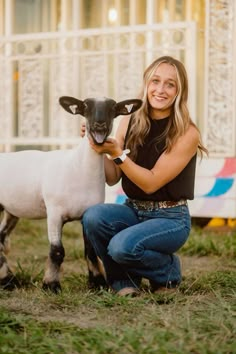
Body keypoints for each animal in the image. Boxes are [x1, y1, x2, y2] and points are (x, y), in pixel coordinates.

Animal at [0, 95, 142, 292]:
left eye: (113, 108)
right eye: (86, 106)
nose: (99, 125)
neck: (77, 167)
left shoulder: (86, 214)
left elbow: (90, 251)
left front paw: (97, 283)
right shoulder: (54, 213)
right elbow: (57, 251)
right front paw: (51, 285)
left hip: (11, 210)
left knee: (1, 238)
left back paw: (8, 280)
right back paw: (9, 280)